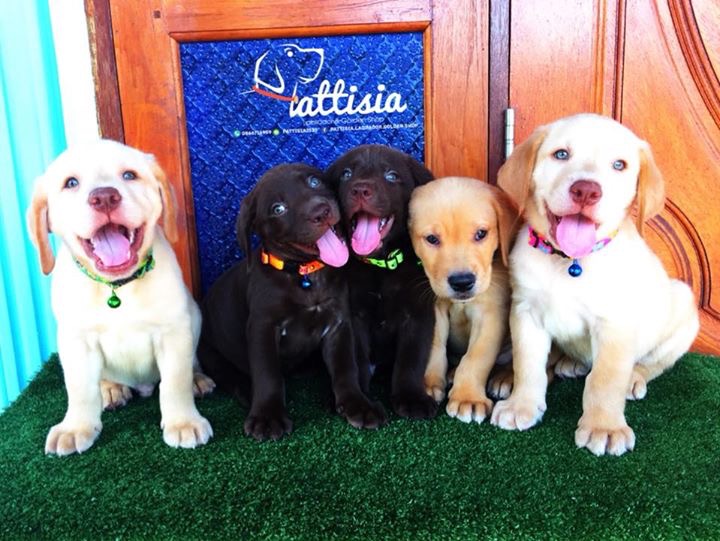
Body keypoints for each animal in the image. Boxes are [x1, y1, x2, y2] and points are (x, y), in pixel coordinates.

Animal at [27, 139, 214, 456]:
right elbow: (79, 389)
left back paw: (198, 380)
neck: (118, 288)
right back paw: (111, 389)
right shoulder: (76, 341)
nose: (104, 197)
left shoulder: (174, 331)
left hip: (195, 315)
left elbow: (175, 382)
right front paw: (75, 427)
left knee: (189, 366)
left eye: (129, 175)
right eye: (71, 183)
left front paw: (183, 421)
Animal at [199, 163, 386, 441]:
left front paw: (358, 404)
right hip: (210, 352)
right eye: (278, 209)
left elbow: (346, 367)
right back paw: (248, 391)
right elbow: (268, 373)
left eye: (314, 182)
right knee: (230, 375)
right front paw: (267, 417)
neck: (306, 275)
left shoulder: (339, 324)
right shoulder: (263, 327)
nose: (321, 211)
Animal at [325, 144, 438, 419]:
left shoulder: (418, 314)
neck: (382, 266)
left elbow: (411, 359)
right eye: (346, 174)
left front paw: (411, 397)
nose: (360, 189)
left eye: (391, 176)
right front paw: (360, 403)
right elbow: (358, 361)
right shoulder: (354, 316)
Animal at [409, 177, 518, 423]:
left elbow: (476, 357)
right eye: (432, 239)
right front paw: (429, 384)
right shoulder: (436, 308)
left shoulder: (490, 315)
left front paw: (468, 398)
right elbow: (434, 347)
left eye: (481, 234)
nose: (462, 282)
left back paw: (506, 377)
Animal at [489, 113, 699, 456]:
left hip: (682, 307)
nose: (586, 191)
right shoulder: (526, 312)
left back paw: (633, 378)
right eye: (561, 154)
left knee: (654, 363)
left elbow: (604, 379)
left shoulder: (615, 323)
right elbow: (528, 364)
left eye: (619, 165)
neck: (570, 262)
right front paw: (522, 404)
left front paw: (604, 427)